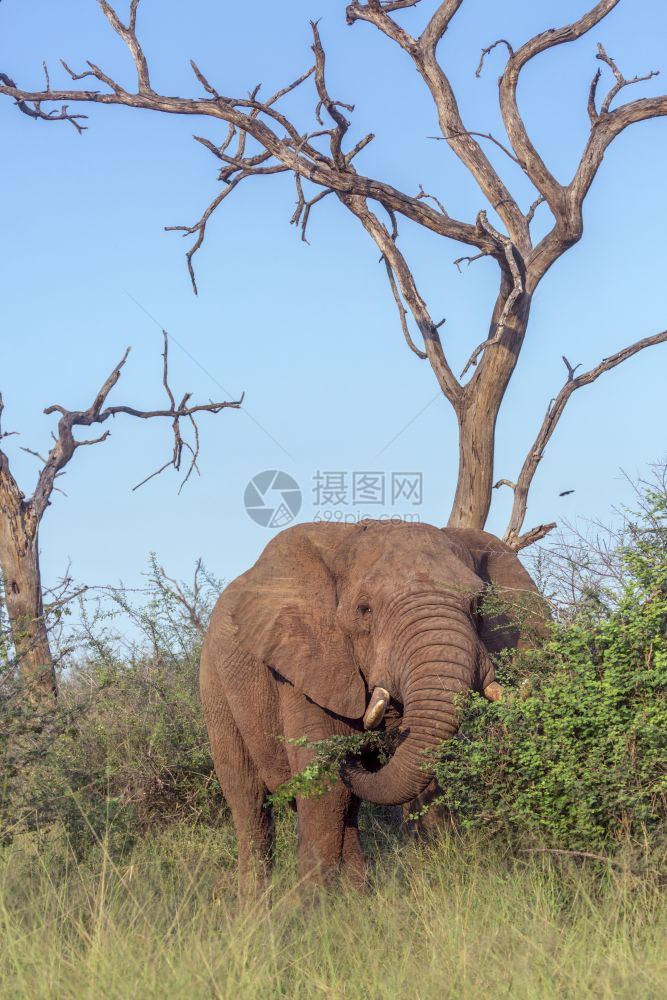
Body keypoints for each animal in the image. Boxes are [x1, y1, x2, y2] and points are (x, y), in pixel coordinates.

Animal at [201, 520, 544, 888]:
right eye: (364, 609)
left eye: (478, 603)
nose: (354, 754)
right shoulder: (305, 663)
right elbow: (322, 780)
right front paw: (312, 903)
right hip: (214, 684)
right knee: (249, 799)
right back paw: (257, 900)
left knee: (347, 807)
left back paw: (357, 895)